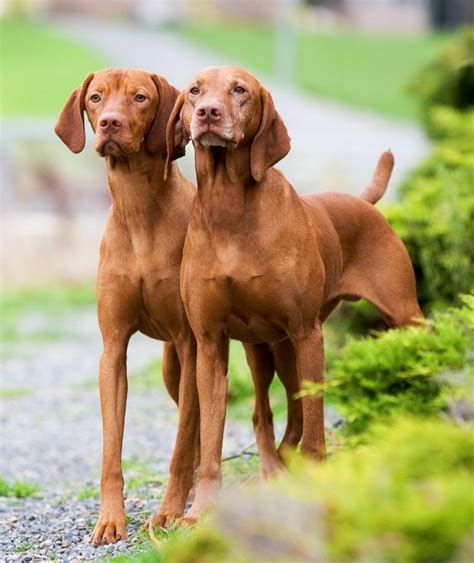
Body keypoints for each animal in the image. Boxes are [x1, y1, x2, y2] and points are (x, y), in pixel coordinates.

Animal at [53, 68, 304, 544]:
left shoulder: (191, 343)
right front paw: (110, 519)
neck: (139, 214)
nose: (110, 123)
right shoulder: (113, 349)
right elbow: (112, 447)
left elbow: (184, 441)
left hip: (217, 354)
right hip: (171, 370)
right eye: (95, 98)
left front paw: (169, 511)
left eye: (140, 98)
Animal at [166, 65, 422, 520]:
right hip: (268, 350)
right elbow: (211, 440)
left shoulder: (307, 333)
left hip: (399, 315)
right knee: (270, 412)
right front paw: (201, 511)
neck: (229, 207)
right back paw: (273, 469)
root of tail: (362, 202)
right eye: (194, 90)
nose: (208, 112)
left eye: (240, 90)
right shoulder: (210, 344)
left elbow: (316, 426)